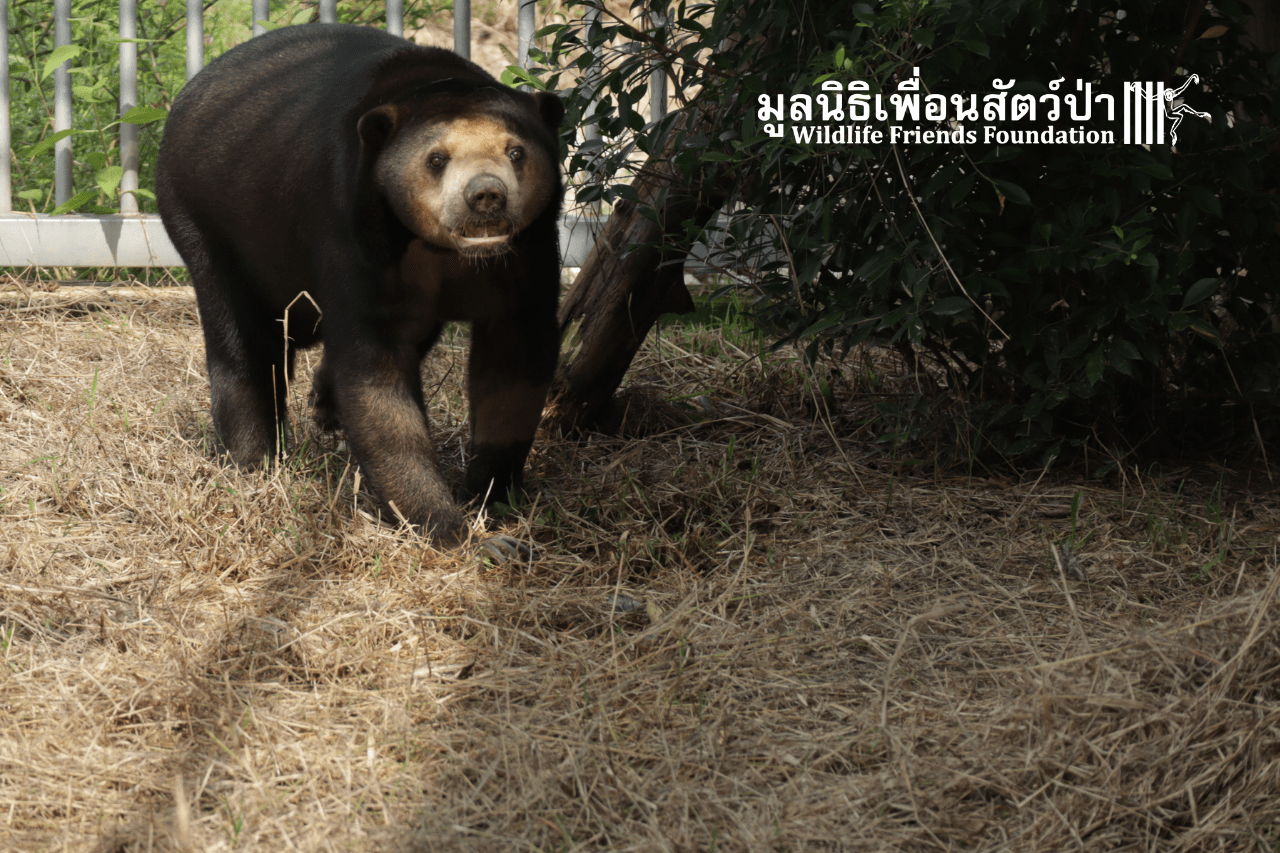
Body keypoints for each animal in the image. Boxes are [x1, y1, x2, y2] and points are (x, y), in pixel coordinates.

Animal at [155, 23, 564, 547]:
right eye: (436, 159)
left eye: (516, 151)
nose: (486, 196)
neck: (448, 256)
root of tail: (191, 91)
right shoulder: (354, 230)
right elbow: (376, 378)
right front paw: (445, 524)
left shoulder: (528, 254)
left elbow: (513, 364)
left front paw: (489, 497)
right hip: (203, 220)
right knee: (239, 340)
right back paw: (254, 459)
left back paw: (321, 405)